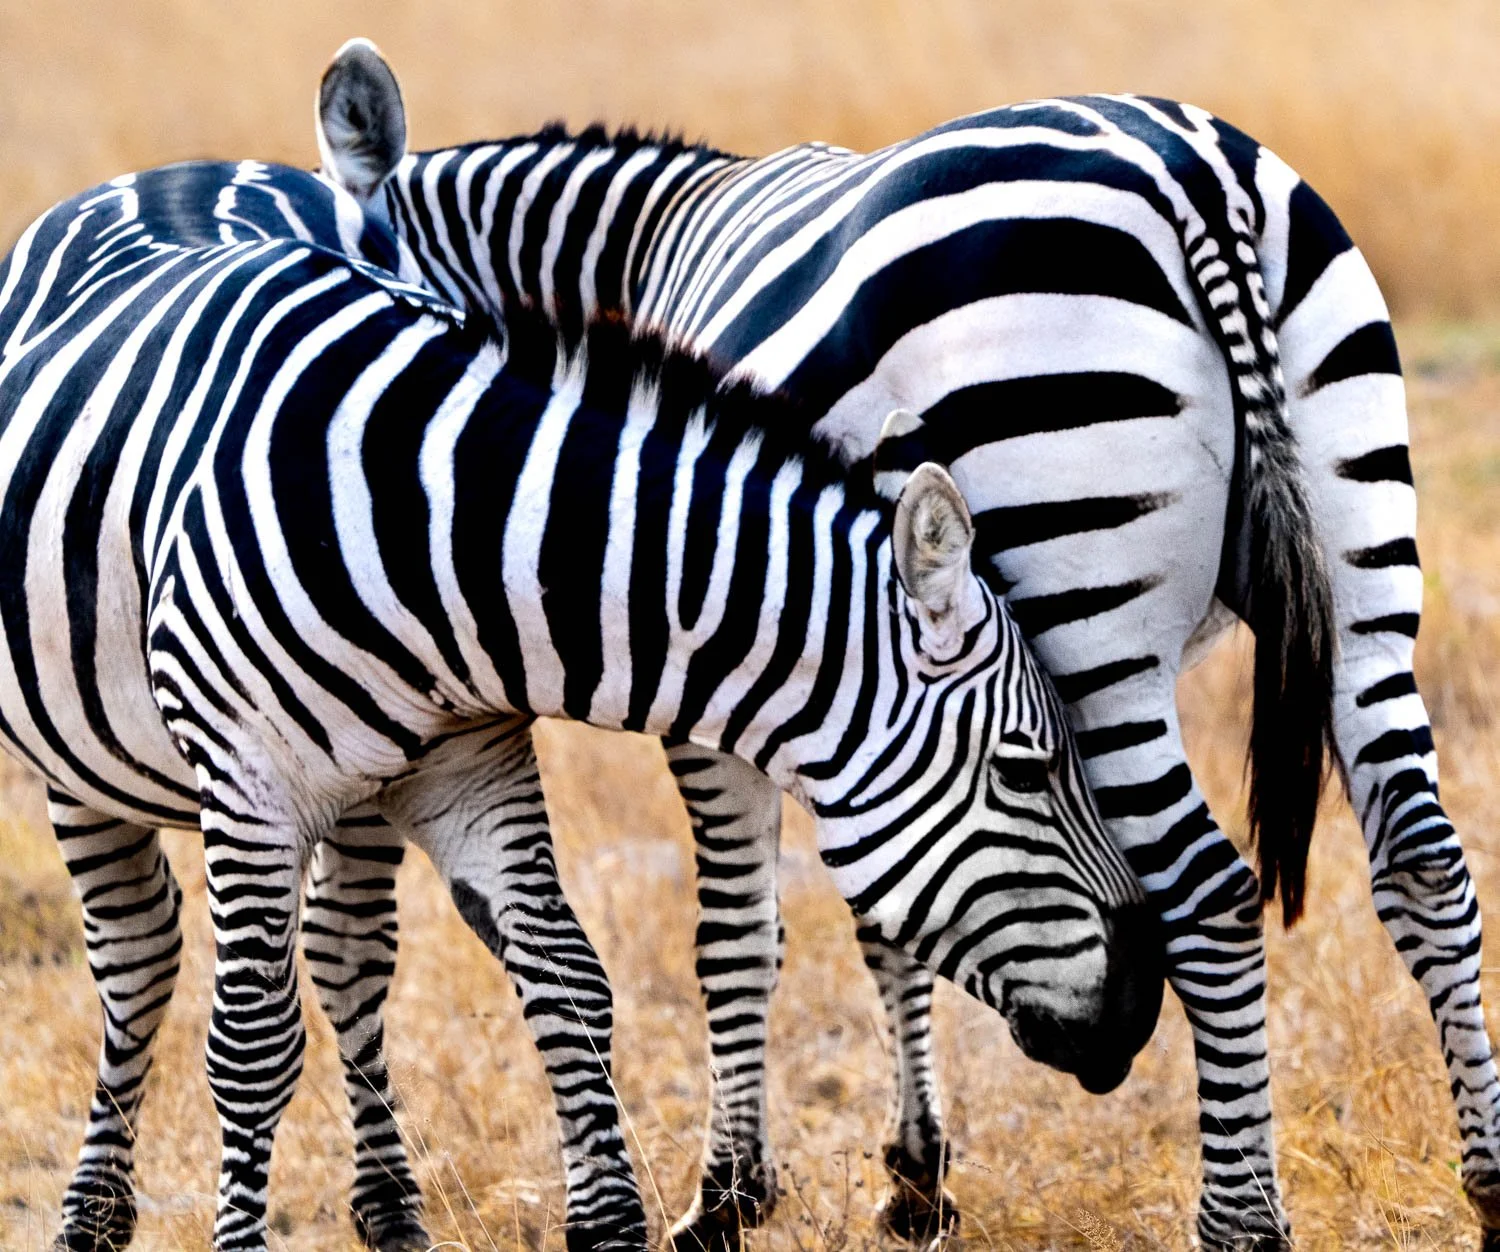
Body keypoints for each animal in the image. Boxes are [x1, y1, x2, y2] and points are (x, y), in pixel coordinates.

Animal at [3, 157, 1163, 1251]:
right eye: (1026, 769)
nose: (1145, 1001)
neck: (442, 531)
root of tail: (170, 172)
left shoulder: (470, 765)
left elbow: (569, 982)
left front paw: (605, 1221)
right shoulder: (252, 788)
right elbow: (249, 1044)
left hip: (362, 793)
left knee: (345, 958)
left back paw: (390, 1212)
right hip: (79, 761)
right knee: (138, 956)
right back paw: (92, 1216)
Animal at [313, 39, 1500, 1250]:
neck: (635, 259)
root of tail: (1187, 172)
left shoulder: (731, 671)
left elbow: (741, 927)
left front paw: (729, 1196)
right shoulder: (854, 679)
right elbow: (890, 909)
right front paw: (916, 1174)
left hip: (1089, 605)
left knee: (1209, 889)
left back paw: (1240, 1221)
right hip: (1363, 563)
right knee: (1425, 859)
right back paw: (1486, 1179)